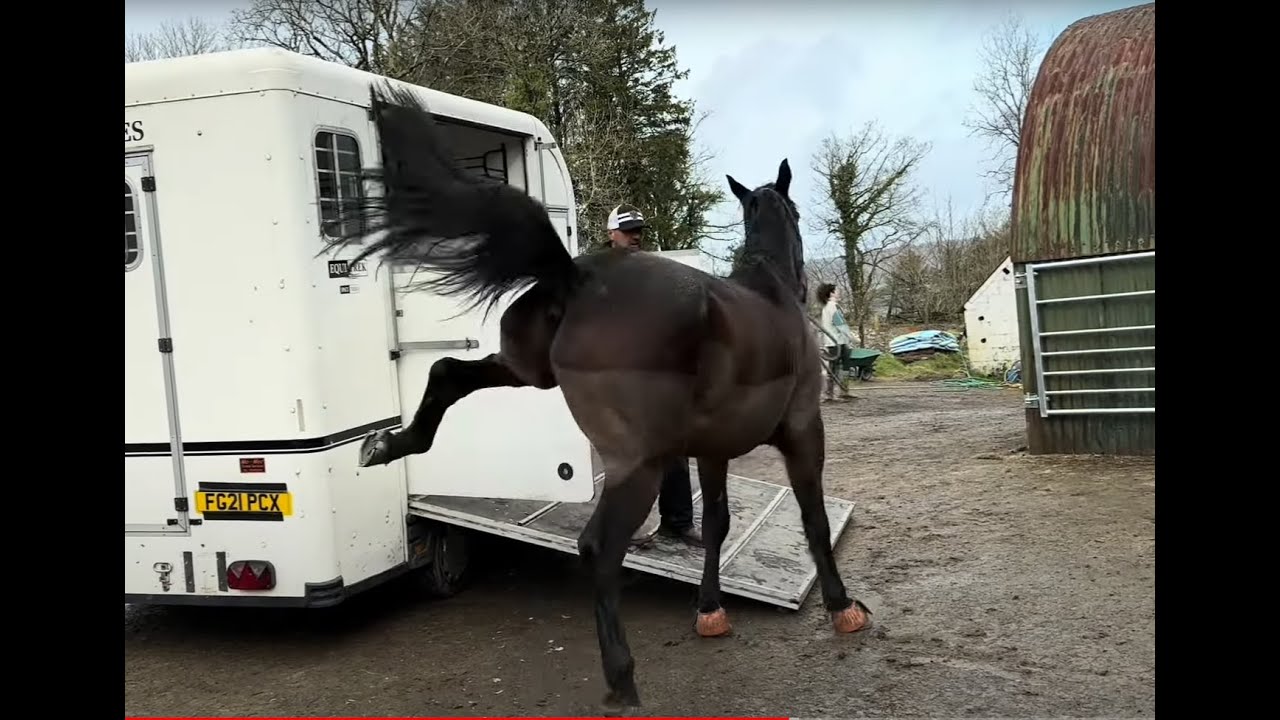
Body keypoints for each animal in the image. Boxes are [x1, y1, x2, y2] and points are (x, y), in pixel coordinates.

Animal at [324, 81, 872, 711]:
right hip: (639, 466)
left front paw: (710, 610)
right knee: (597, 547)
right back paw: (622, 678)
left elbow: (718, 524)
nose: (811, 282)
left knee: (446, 372)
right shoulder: (804, 431)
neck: (771, 294)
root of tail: (577, 276)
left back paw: (389, 444)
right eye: (800, 213)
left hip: (528, 372)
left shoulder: (712, 452)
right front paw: (843, 607)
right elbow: (813, 518)